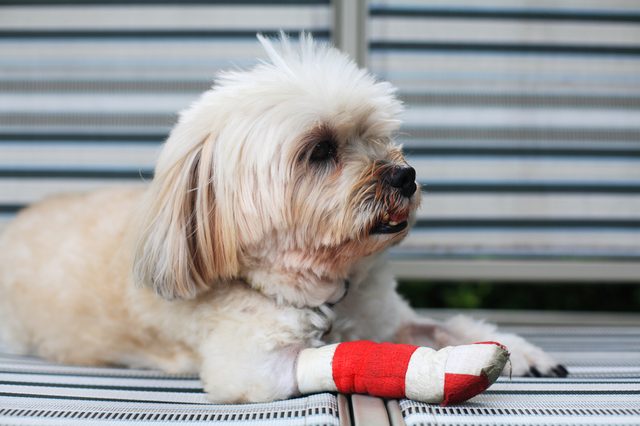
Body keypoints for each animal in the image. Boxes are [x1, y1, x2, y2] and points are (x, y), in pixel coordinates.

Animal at [0, 34, 568, 402]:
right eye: (319, 151)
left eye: (377, 136)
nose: (405, 175)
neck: (325, 291)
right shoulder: (255, 368)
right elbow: (340, 356)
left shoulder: (387, 317)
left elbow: (446, 325)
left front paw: (517, 351)